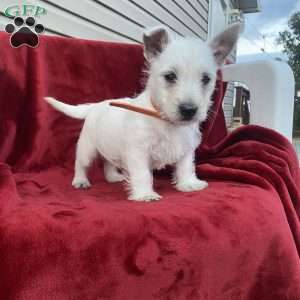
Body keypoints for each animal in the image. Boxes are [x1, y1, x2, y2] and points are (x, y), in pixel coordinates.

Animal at [45, 23, 241, 202]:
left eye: (206, 79)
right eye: (170, 76)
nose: (189, 110)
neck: (166, 121)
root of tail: (95, 106)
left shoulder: (186, 148)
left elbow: (186, 166)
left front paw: (188, 184)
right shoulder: (138, 152)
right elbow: (142, 174)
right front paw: (145, 195)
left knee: (108, 161)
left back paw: (113, 177)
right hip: (87, 147)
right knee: (80, 164)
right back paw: (80, 181)